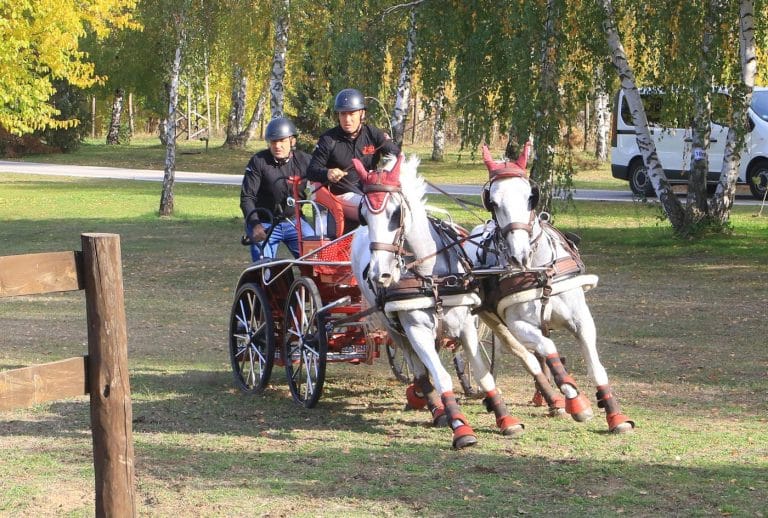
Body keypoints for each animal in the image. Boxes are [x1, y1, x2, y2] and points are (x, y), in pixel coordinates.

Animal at [352, 152, 524, 448]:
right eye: (363, 215)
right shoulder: (415, 330)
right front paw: (461, 427)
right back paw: (439, 410)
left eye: (396, 213)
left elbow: (483, 372)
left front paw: (505, 418)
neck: (431, 274)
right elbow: (440, 376)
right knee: (419, 370)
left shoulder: (466, 325)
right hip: (395, 330)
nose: (379, 273)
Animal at [464, 146, 632, 434]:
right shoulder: (519, 325)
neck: (538, 270)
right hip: (495, 321)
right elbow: (547, 350)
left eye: (530, 198)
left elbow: (595, 366)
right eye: (492, 202)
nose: (519, 255)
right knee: (528, 357)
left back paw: (550, 400)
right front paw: (576, 401)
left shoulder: (581, 320)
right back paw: (554, 397)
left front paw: (615, 415)